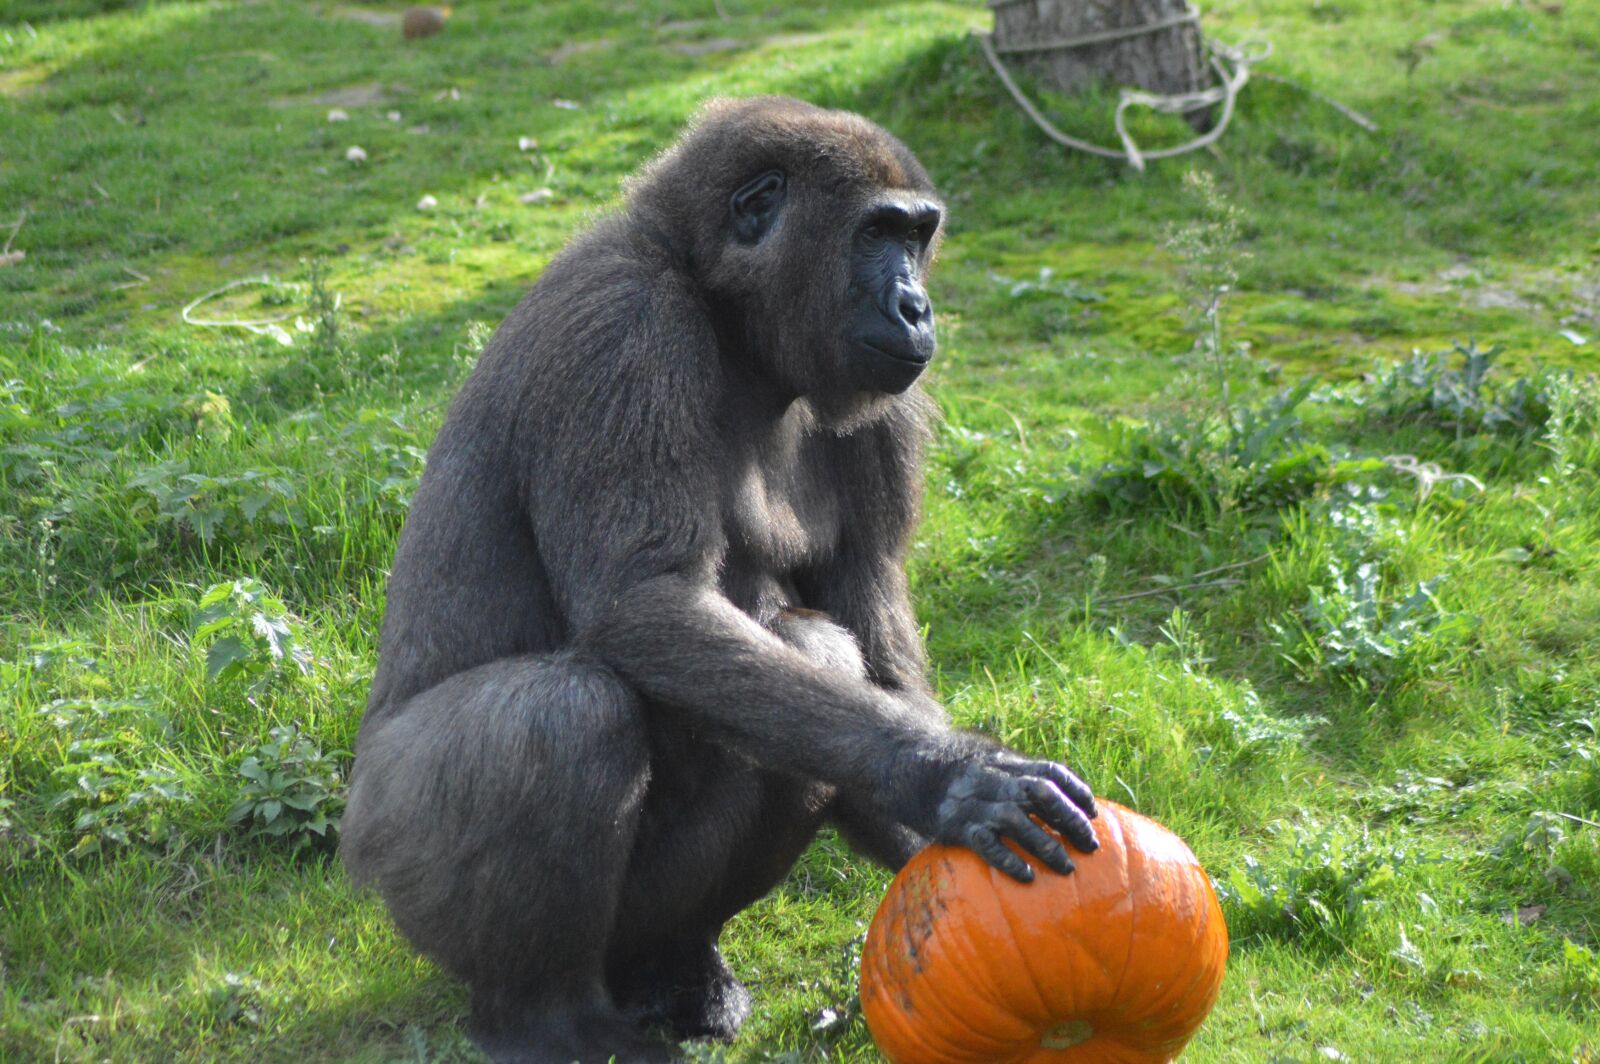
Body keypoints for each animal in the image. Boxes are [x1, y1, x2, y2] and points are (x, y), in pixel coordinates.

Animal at [340, 96, 1099, 1064]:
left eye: (917, 236)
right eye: (877, 233)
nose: (917, 305)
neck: (717, 302)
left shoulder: (880, 410)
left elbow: (872, 635)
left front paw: (924, 814)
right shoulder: (627, 331)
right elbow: (646, 604)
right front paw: (947, 777)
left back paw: (678, 964)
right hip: (395, 862)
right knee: (563, 716)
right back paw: (548, 1019)